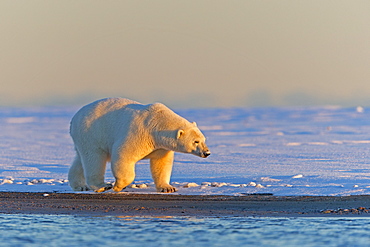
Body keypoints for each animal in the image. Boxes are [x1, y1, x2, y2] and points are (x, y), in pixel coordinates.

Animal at [67, 98, 210, 193]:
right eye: (196, 141)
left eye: (203, 139)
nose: (207, 152)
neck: (157, 124)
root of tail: (74, 118)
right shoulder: (139, 133)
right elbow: (123, 154)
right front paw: (118, 186)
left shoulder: (160, 146)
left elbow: (161, 163)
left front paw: (167, 188)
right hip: (92, 132)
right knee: (94, 158)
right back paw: (102, 185)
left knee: (81, 159)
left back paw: (80, 185)